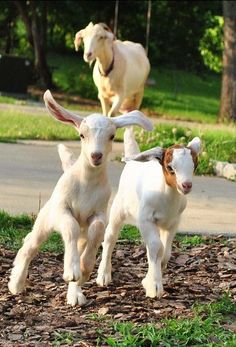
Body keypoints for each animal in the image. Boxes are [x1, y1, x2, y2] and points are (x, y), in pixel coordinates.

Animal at [7, 91, 153, 306]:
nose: (96, 156)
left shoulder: (99, 212)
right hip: (46, 218)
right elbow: (70, 226)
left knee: (78, 243)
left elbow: (97, 229)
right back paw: (16, 284)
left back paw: (75, 294)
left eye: (112, 136)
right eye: (82, 135)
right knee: (30, 245)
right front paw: (72, 271)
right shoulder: (62, 209)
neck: (87, 184)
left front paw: (83, 269)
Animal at [96, 130, 201, 300]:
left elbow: (164, 252)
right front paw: (154, 287)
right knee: (110, 238)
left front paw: (149, 279)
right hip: (118, 209)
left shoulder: (173, 222)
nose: (186, 185)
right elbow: (156, 247)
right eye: (170, 167)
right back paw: (103, 276)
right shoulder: (145, 219)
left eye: (195, 165)